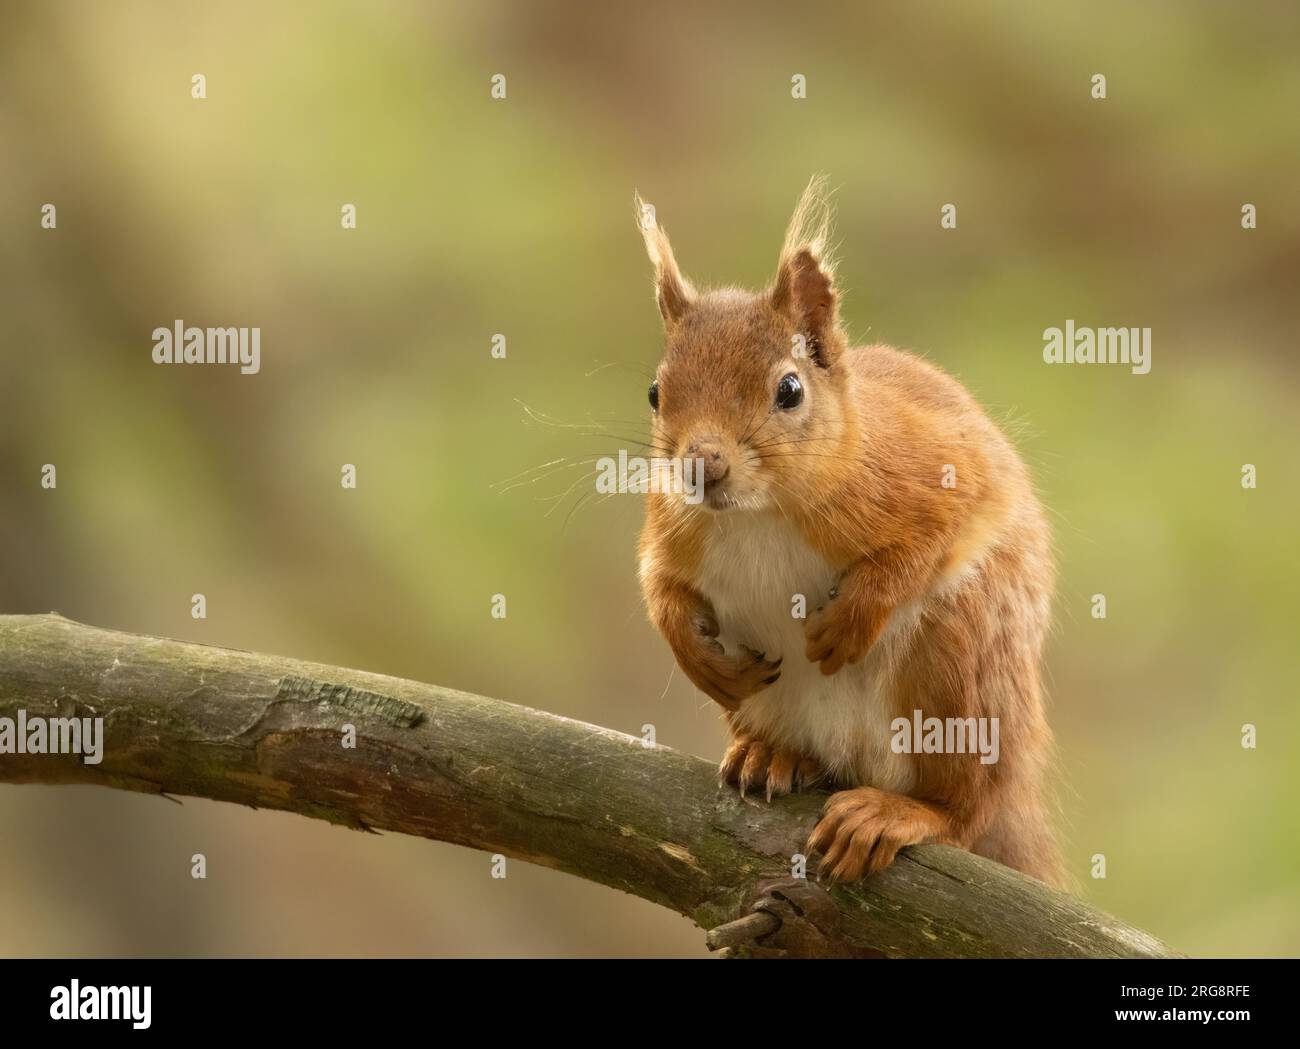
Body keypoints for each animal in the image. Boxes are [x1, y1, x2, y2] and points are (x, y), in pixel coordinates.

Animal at [634, 178, 1060, 883]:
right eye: (654, 392)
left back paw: (901, 812)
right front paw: (696, 655)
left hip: (959, 672)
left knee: (966, 809)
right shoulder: (672, 529)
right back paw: (774, 755)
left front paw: (853, 618)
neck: (759, 514)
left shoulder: (938, 474)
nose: (701, 467)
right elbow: (659, 585)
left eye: (789, 389)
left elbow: (929, 540)